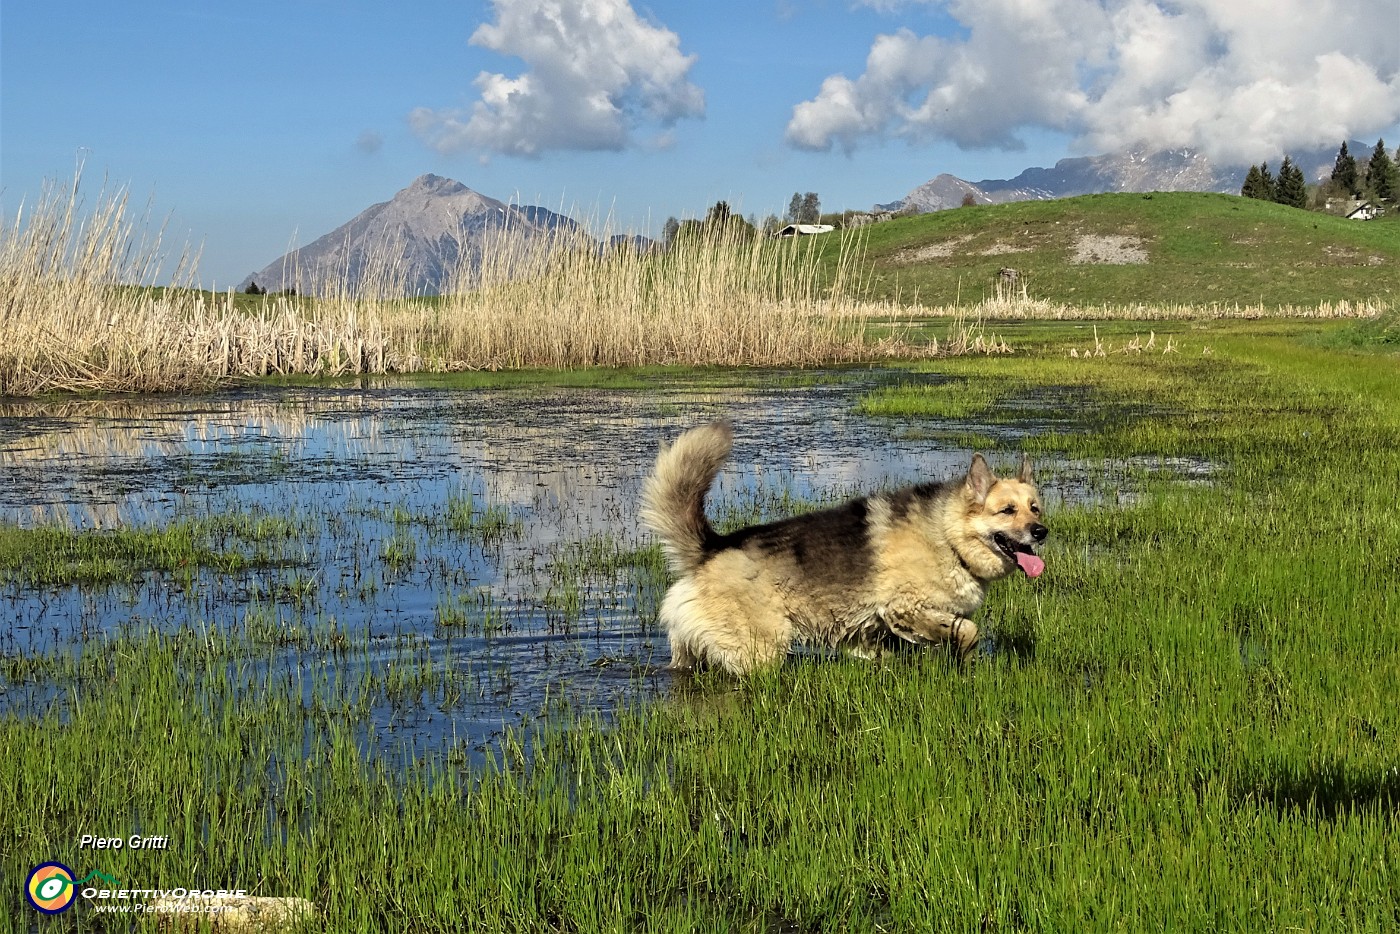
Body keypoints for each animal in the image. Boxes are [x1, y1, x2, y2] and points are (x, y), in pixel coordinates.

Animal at [641, 420, 1047, 674]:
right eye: (1007, 510)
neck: (948, 537)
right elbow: (968, 630)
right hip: (759, 652)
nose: (1041, 532)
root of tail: (711, 548)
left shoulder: (878, 632)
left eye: (1034, 507)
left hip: (690, 652)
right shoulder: (902, 608)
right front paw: (966, 661)